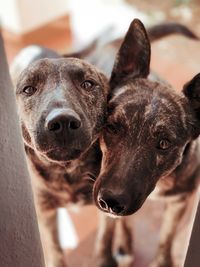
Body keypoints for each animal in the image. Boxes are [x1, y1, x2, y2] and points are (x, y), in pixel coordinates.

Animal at [94, 19, 200, 267]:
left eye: (164, 143)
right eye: (112, 127)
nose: (110, 201)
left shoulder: (179, 201)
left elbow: (167, 236)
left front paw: (163, 260)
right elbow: (107, 229)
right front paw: (105, 256)